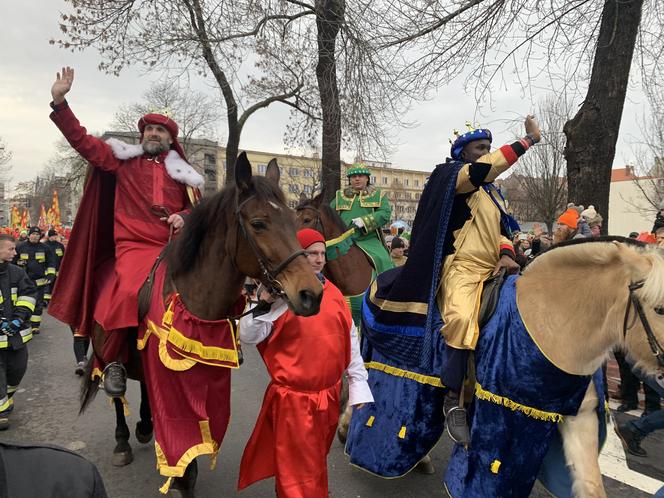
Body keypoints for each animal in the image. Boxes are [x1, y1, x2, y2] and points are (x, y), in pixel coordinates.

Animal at [80, 154, 324, 496]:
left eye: (294, 220)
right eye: (258, 223)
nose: (311, 294)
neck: (196, 300)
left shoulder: (208, 380)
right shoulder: (172, 383)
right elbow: (181, 441)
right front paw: (180, 477)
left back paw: (144, 426)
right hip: (105, 351)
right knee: (116, 393)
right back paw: (123, 441)